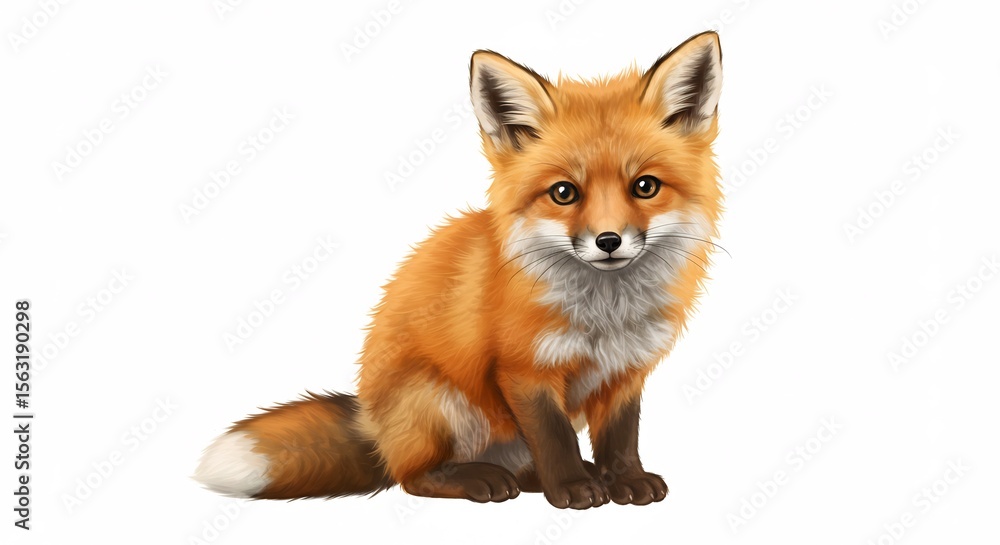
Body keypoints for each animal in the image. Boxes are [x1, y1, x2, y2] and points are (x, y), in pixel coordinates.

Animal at [195, 31, 724, 509]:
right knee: (412, 477)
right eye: (564, 193)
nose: (608, 241)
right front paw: (573, 488)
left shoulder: (626, 370)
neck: (606, 316)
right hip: (439, 402)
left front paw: (624, 480)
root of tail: (372, 426)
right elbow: (555, 438)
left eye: (645, 186)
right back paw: (480, 479)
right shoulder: (523, 371)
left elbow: (621, 437)